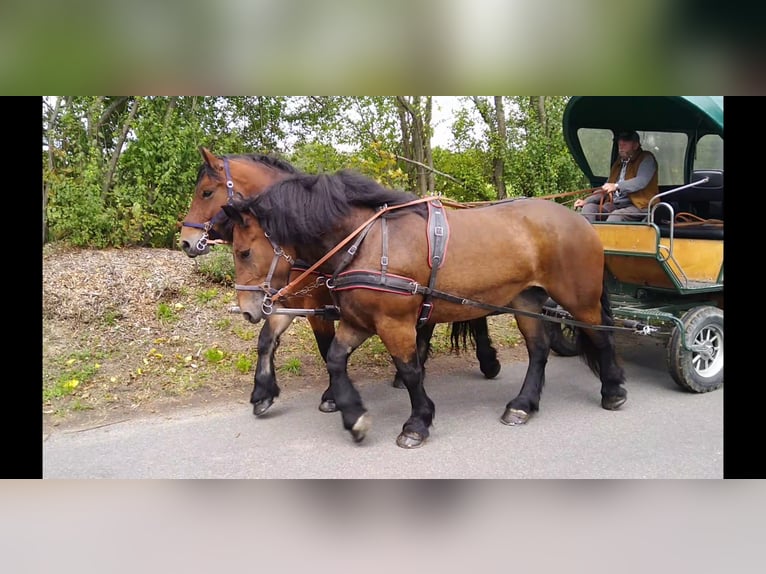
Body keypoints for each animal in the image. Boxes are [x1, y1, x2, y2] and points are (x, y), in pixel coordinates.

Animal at [180, 148, 504, 418]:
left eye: (206, 192)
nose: (186, 241)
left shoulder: (318, 308)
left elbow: (326, 350)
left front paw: (332, 396)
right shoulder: (284, 301)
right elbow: (265, 341)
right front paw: (262, 392)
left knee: (475, 316)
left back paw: (487, 361)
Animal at [222, 171, 632, 450]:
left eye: (244, 251)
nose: (248, 309)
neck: (366, 241)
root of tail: (579, 220)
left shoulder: (395, 322)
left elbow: (410, 370)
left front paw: (417, 423)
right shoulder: (359, 319)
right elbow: (336, 359)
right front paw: (353, 415)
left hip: (578, 299)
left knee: (600, 337)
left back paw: (613, 390)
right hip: (527, 300)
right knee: (539, 351)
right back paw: (523, 405)